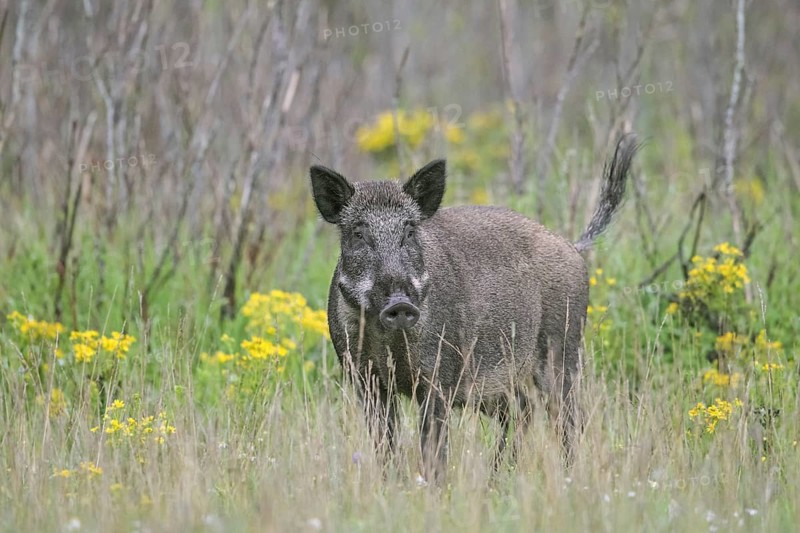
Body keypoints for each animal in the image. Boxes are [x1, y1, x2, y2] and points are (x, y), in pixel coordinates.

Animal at [310, 135, 638, 481]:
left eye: (410, 231)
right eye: (358, 233)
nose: (400, 303)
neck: (390, 343)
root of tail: (574, 247)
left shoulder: (438, 377)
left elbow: (433, 445)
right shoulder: (365, 380)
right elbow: (385, 444)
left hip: (561, 349)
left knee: (568, 419)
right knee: (523, 411)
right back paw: (498, 478)